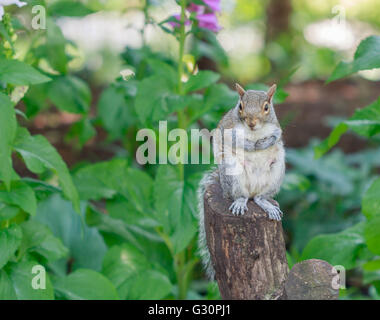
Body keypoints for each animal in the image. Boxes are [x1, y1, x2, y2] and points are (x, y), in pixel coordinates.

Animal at [199, 83, 284, 280]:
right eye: (240, 106)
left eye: (267, 107)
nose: (251, 123)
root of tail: (252, 191)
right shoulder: (227, 127)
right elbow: (231, 138)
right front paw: (251, 145)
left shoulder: (276, 128)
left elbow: (276, 136)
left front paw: (263, 143)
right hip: (232, 172)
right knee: (240, 195)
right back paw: (240, 201)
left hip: (277, 170)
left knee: (260, 197)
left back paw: (266, 204)